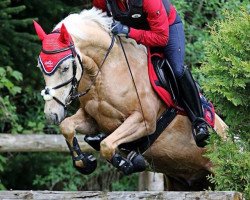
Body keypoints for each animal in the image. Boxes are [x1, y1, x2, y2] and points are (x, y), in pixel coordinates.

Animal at [34, 8, 228, 191]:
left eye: (65, 68)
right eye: (40, 67)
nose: (52, 114)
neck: (107, 70)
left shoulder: (144, 121)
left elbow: (107, 145)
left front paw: (130, 164)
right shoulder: (93, 119)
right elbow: (67, 126)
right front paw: (85, 162)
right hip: (180, 181)